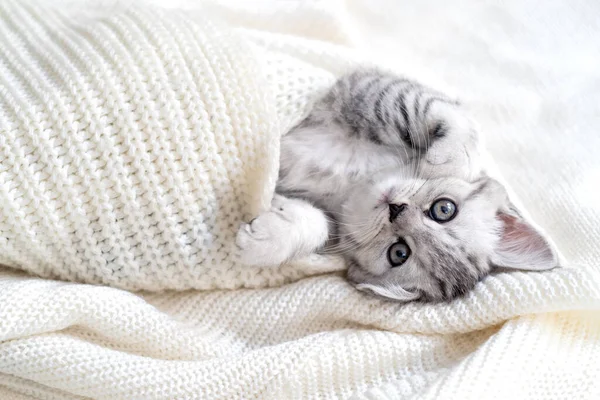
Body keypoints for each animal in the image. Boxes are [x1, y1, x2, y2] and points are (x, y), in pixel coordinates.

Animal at [236, 69, 556, 302]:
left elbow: (318, 223)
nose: (396, 209)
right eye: (444, 209)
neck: (354, 184)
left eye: (399, 253)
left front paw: (265, 241)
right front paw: (444, 164)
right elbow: (452, 117)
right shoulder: (370, 91)